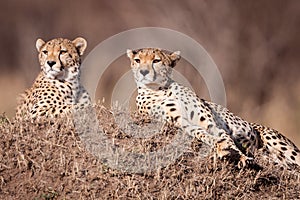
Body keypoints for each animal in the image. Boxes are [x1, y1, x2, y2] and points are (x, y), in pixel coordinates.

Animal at [126, 47, 300, 168]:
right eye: (137, 60)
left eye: (156, 60)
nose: (143, 72)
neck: (162, 89)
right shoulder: (179, 122)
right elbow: (203, 134)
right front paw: (223, 149)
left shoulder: (209, 121)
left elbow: (225, 137)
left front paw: (241, 156)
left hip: (278, 143)